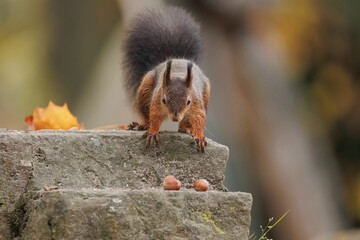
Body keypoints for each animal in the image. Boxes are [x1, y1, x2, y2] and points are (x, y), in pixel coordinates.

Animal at [122, 7, 210, 152]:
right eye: (164, 100)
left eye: (188, 101)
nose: (175, 117)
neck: (177, 74)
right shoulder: (157, 99)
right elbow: (155, 115)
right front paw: (152, 131)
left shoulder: (197, 103)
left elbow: (199, 118)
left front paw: (199, 136)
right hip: (145, 90)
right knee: (146, 115)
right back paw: (143, 125)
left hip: (206, 95)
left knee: (186, 121)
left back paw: (186, 128)